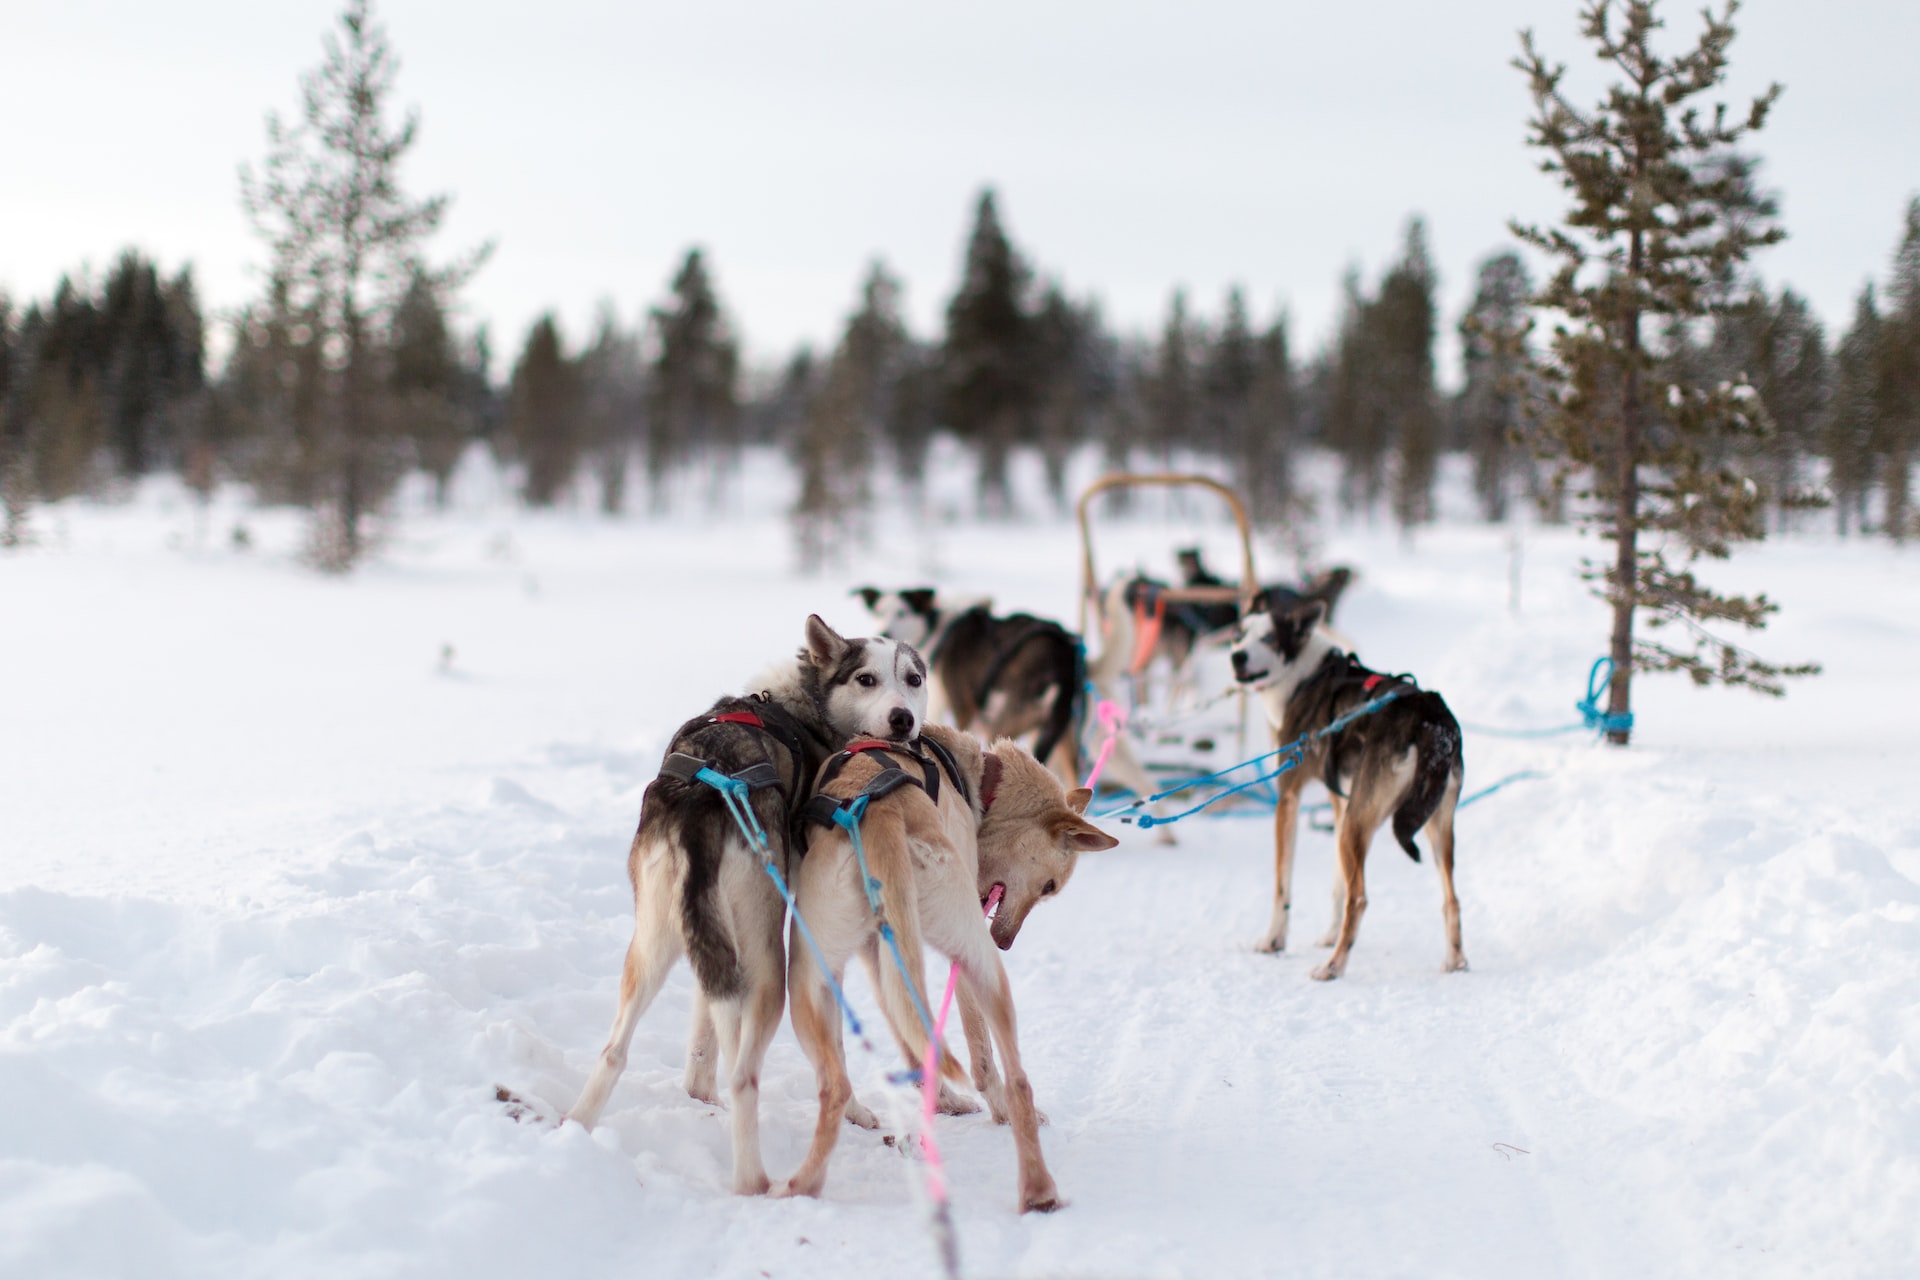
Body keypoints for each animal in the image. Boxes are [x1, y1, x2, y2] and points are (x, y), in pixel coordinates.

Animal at [560, 614, 929, 1197]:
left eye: (913, 679)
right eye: (866, 679)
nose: (903, 719)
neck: (804, 705)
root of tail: (702, 796)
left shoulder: (711, 942)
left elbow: (704, 1026)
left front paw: (697, 1089)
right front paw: (858, 1111)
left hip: (656, 945)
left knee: (615, 1050)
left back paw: (576, 1126)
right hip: (768, 964)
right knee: (744, 1075)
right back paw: (755, 1181)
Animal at [775, 725, 1121, 1220]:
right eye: (1050, 886)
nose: (1006, 942)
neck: (979, 781)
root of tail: (879, 814)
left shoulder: (878, 956)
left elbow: (912, 1037)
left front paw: (937, 1099)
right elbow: (980, 1056)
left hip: (808, 978)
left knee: (837, 1083)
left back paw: (802, 1184)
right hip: (981, 963)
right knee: (1015, 1079)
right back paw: (1037, 1184)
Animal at [1228, 602, 1466, 982]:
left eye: (1268, 638)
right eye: (1239, 634)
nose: (1237, 656)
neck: (1305, 676)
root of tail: (1430, 718)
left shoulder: (1288, 798)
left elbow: (1282, 884)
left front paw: (1273, 940)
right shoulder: (1340, 803)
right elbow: (1338, 883)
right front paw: (1329, 933)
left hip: (1359, 824)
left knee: (1361, 899)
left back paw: (1333, 966)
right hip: (1430, 823)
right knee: (1451, 899)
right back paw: (1455, 961)